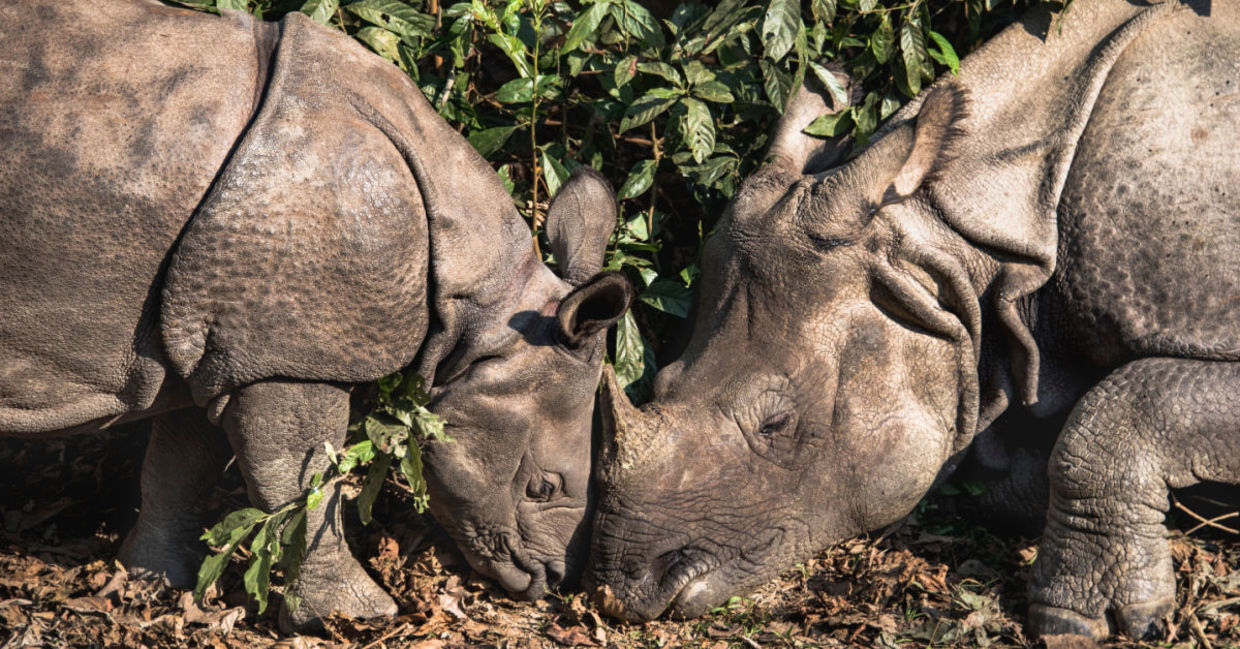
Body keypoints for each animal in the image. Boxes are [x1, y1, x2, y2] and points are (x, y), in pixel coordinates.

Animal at [0, 0, 633, 630]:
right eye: (542, 488)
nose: (549, 580)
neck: (480, 307)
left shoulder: (224, 338)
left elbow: (182, 464)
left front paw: (152, 579)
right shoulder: (286, 355)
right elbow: (303, 482)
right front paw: (358, 616)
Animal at [589, 0, 1240, 639]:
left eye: (776, 423)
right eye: (662, 380)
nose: (621, 591)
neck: (959, 251)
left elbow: (1125, 406)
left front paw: (1077, 623)